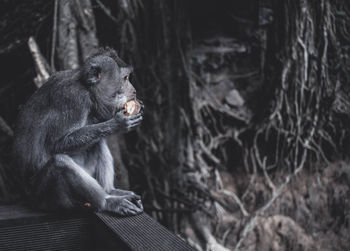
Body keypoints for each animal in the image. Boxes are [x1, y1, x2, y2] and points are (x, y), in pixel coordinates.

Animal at [12, 48, 144, 216]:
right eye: (125, 78)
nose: (134, 91)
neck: (86, 87)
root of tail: (29, 199)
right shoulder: (73, 99)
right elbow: (56, 144)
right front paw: (117, 124)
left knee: (97, 142)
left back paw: (109, 191)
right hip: (47, 197)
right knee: (60, 162)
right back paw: (107, 202)